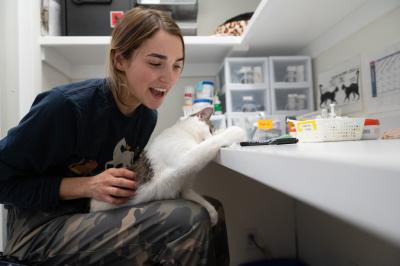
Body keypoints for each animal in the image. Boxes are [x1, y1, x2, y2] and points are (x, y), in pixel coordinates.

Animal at [90, 107, 245, 225]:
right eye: (211, 130)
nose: (214, 132)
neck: (186, 133)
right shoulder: (186, 157)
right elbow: (212, 142)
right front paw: (236, 131)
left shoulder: (185, 188)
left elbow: (199, 198)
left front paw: (213, 214)